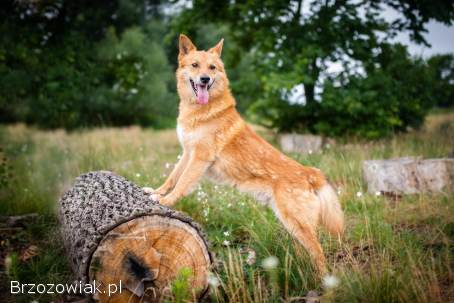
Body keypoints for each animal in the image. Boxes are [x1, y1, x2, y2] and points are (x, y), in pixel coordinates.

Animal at [145, 35, 344, 274]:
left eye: (212, 68)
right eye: (195, 65)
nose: (204, 79)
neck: (204, 110)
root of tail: (310, 173)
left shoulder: (200, 158)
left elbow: (182, 184)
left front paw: (165, 201)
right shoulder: (187, 153)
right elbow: (173, 177)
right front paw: (157, 192)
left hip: (297, 224)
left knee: (320, 255)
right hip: (293, 226)